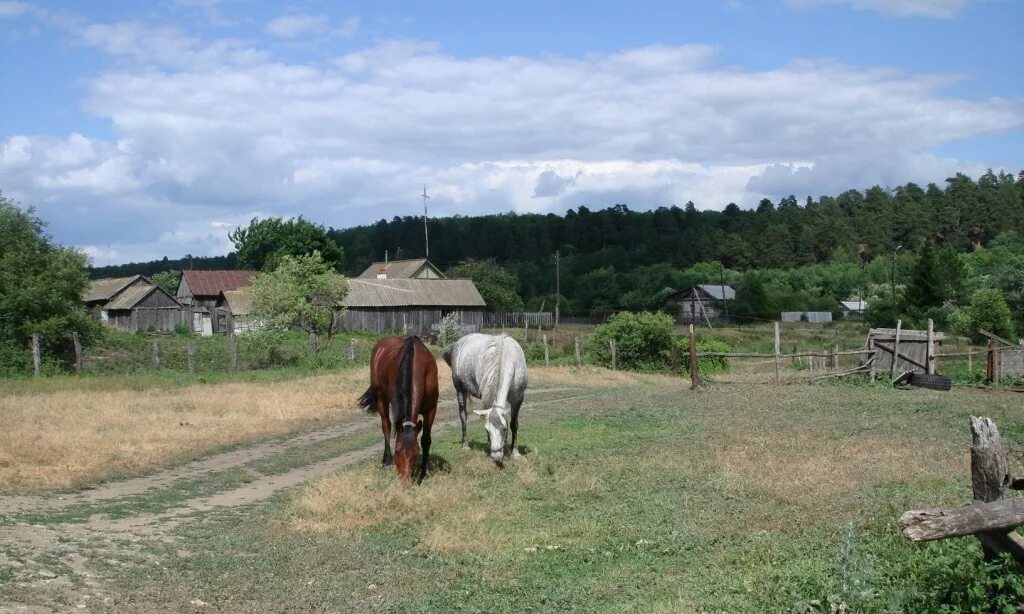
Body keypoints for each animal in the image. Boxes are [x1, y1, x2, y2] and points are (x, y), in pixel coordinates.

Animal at [358, 335, 438, 485]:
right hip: (380, 397)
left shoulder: (431, 409)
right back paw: (386, 460)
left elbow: (426, 439)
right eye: (397, 449)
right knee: (386, 426)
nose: (405, 481)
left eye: (416, 451)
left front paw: (424, 471)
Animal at [442, 333, 528, 462]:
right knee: (463, 416)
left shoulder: (518, 399)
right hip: (460, 390)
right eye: (487, 430)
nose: (496, 457)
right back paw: (465, 445)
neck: (506, 357)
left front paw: (515, 452)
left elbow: (514, 424)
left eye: (504, 429)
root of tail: (458, 343)